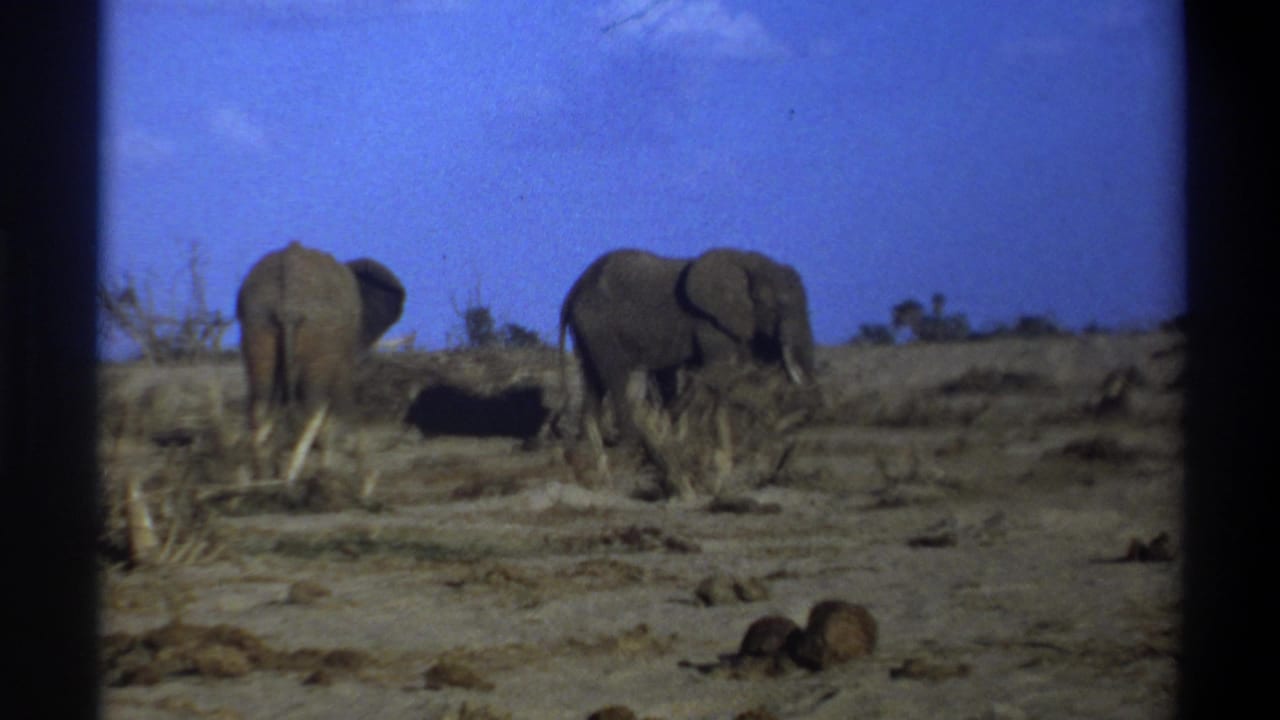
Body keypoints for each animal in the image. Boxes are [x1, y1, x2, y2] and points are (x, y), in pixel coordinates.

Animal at [236, 241, 405, 484]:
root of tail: (289, 301)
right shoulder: (342, 344)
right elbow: (343, 397)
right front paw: (363, 478)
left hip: (258, 324)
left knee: (260, 402)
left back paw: (263, 478)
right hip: (320, 334)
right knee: (314, 405)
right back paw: (295, 477)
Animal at [558, 247, 816, 447]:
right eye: (776, 307)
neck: (745, 260)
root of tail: (573, 291)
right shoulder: (707, 321)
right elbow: (722, 368)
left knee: (593, 379)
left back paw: (589, 444)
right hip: (599, 326)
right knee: (616, 377)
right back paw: (631, 442)